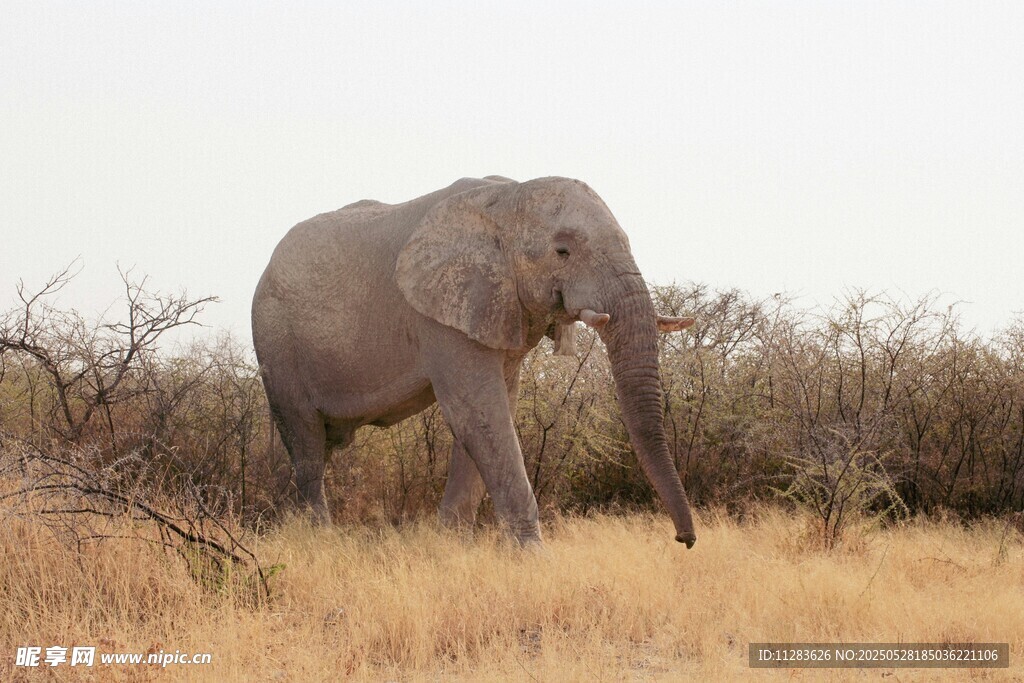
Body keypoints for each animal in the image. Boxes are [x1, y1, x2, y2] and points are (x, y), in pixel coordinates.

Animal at [251, 175, 698, 547]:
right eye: (563, 251)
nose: (685, 540)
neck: (508, 199)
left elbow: (489, 414)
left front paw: (451, 546)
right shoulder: (440, 314)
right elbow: (479, 413)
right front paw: (532, 557)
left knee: (319, 446)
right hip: (276, 339)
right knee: (306, 442)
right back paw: (316, 539)